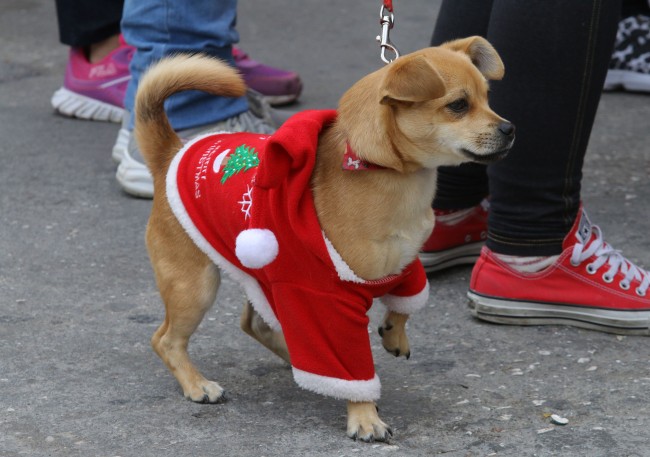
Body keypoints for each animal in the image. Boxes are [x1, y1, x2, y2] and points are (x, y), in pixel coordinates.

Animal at [135, 36, 512, 442]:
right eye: (458, 105)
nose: (510, 128)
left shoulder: (405, 266)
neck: (387, 173)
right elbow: (352, 366)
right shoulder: (329, 301)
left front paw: (394, 334)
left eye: (488, 98)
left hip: (266, 277)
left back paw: (297, 362)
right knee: (166, 340)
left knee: (257, 324)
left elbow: (404, 305)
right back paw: (197, 384)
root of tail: (172, 153)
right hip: (195, 286)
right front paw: (364, 417)